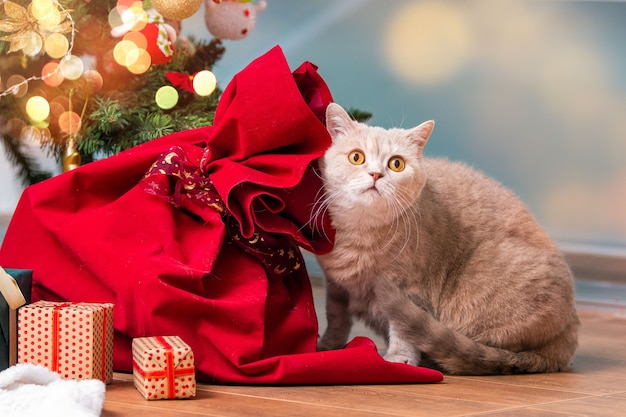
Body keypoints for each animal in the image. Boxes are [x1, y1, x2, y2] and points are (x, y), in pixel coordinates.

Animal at [314, 101, 576, 374]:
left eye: (396, 164)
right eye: (356, 157)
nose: (376, 174)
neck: (362, 233)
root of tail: (570, 326)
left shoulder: (411, 289)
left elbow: (403, 331)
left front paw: (399, 359)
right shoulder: (336, 286)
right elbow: (336, 317)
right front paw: (328, 345)